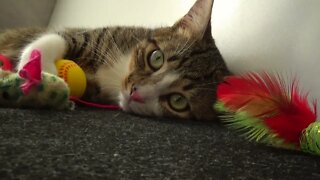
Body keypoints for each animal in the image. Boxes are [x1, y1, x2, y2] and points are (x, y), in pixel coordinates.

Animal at [0, 0, 230, 121]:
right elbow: (59, 38)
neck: (118, 75)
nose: (135, 92)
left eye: (178, 101)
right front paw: (39, 71)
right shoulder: (100, 36)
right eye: (156, 57)